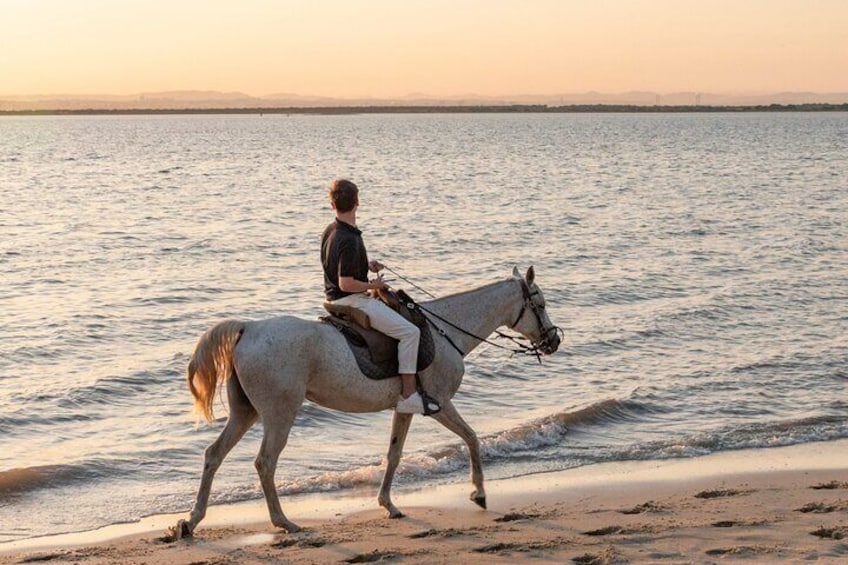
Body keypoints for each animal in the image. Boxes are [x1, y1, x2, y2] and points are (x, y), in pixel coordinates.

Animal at [176, 266, 560, 536]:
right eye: (539, 304)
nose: (554, 340)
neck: (445, 331)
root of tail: (249, 328)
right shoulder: (439, 403)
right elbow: (471, 437)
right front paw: (478, 493)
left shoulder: (406, 408)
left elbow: (393, 455)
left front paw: (388, 504)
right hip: (278, 414)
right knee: (265, 463)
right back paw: (283, 521)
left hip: (246, 413)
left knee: (213, 455)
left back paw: (191, 521)